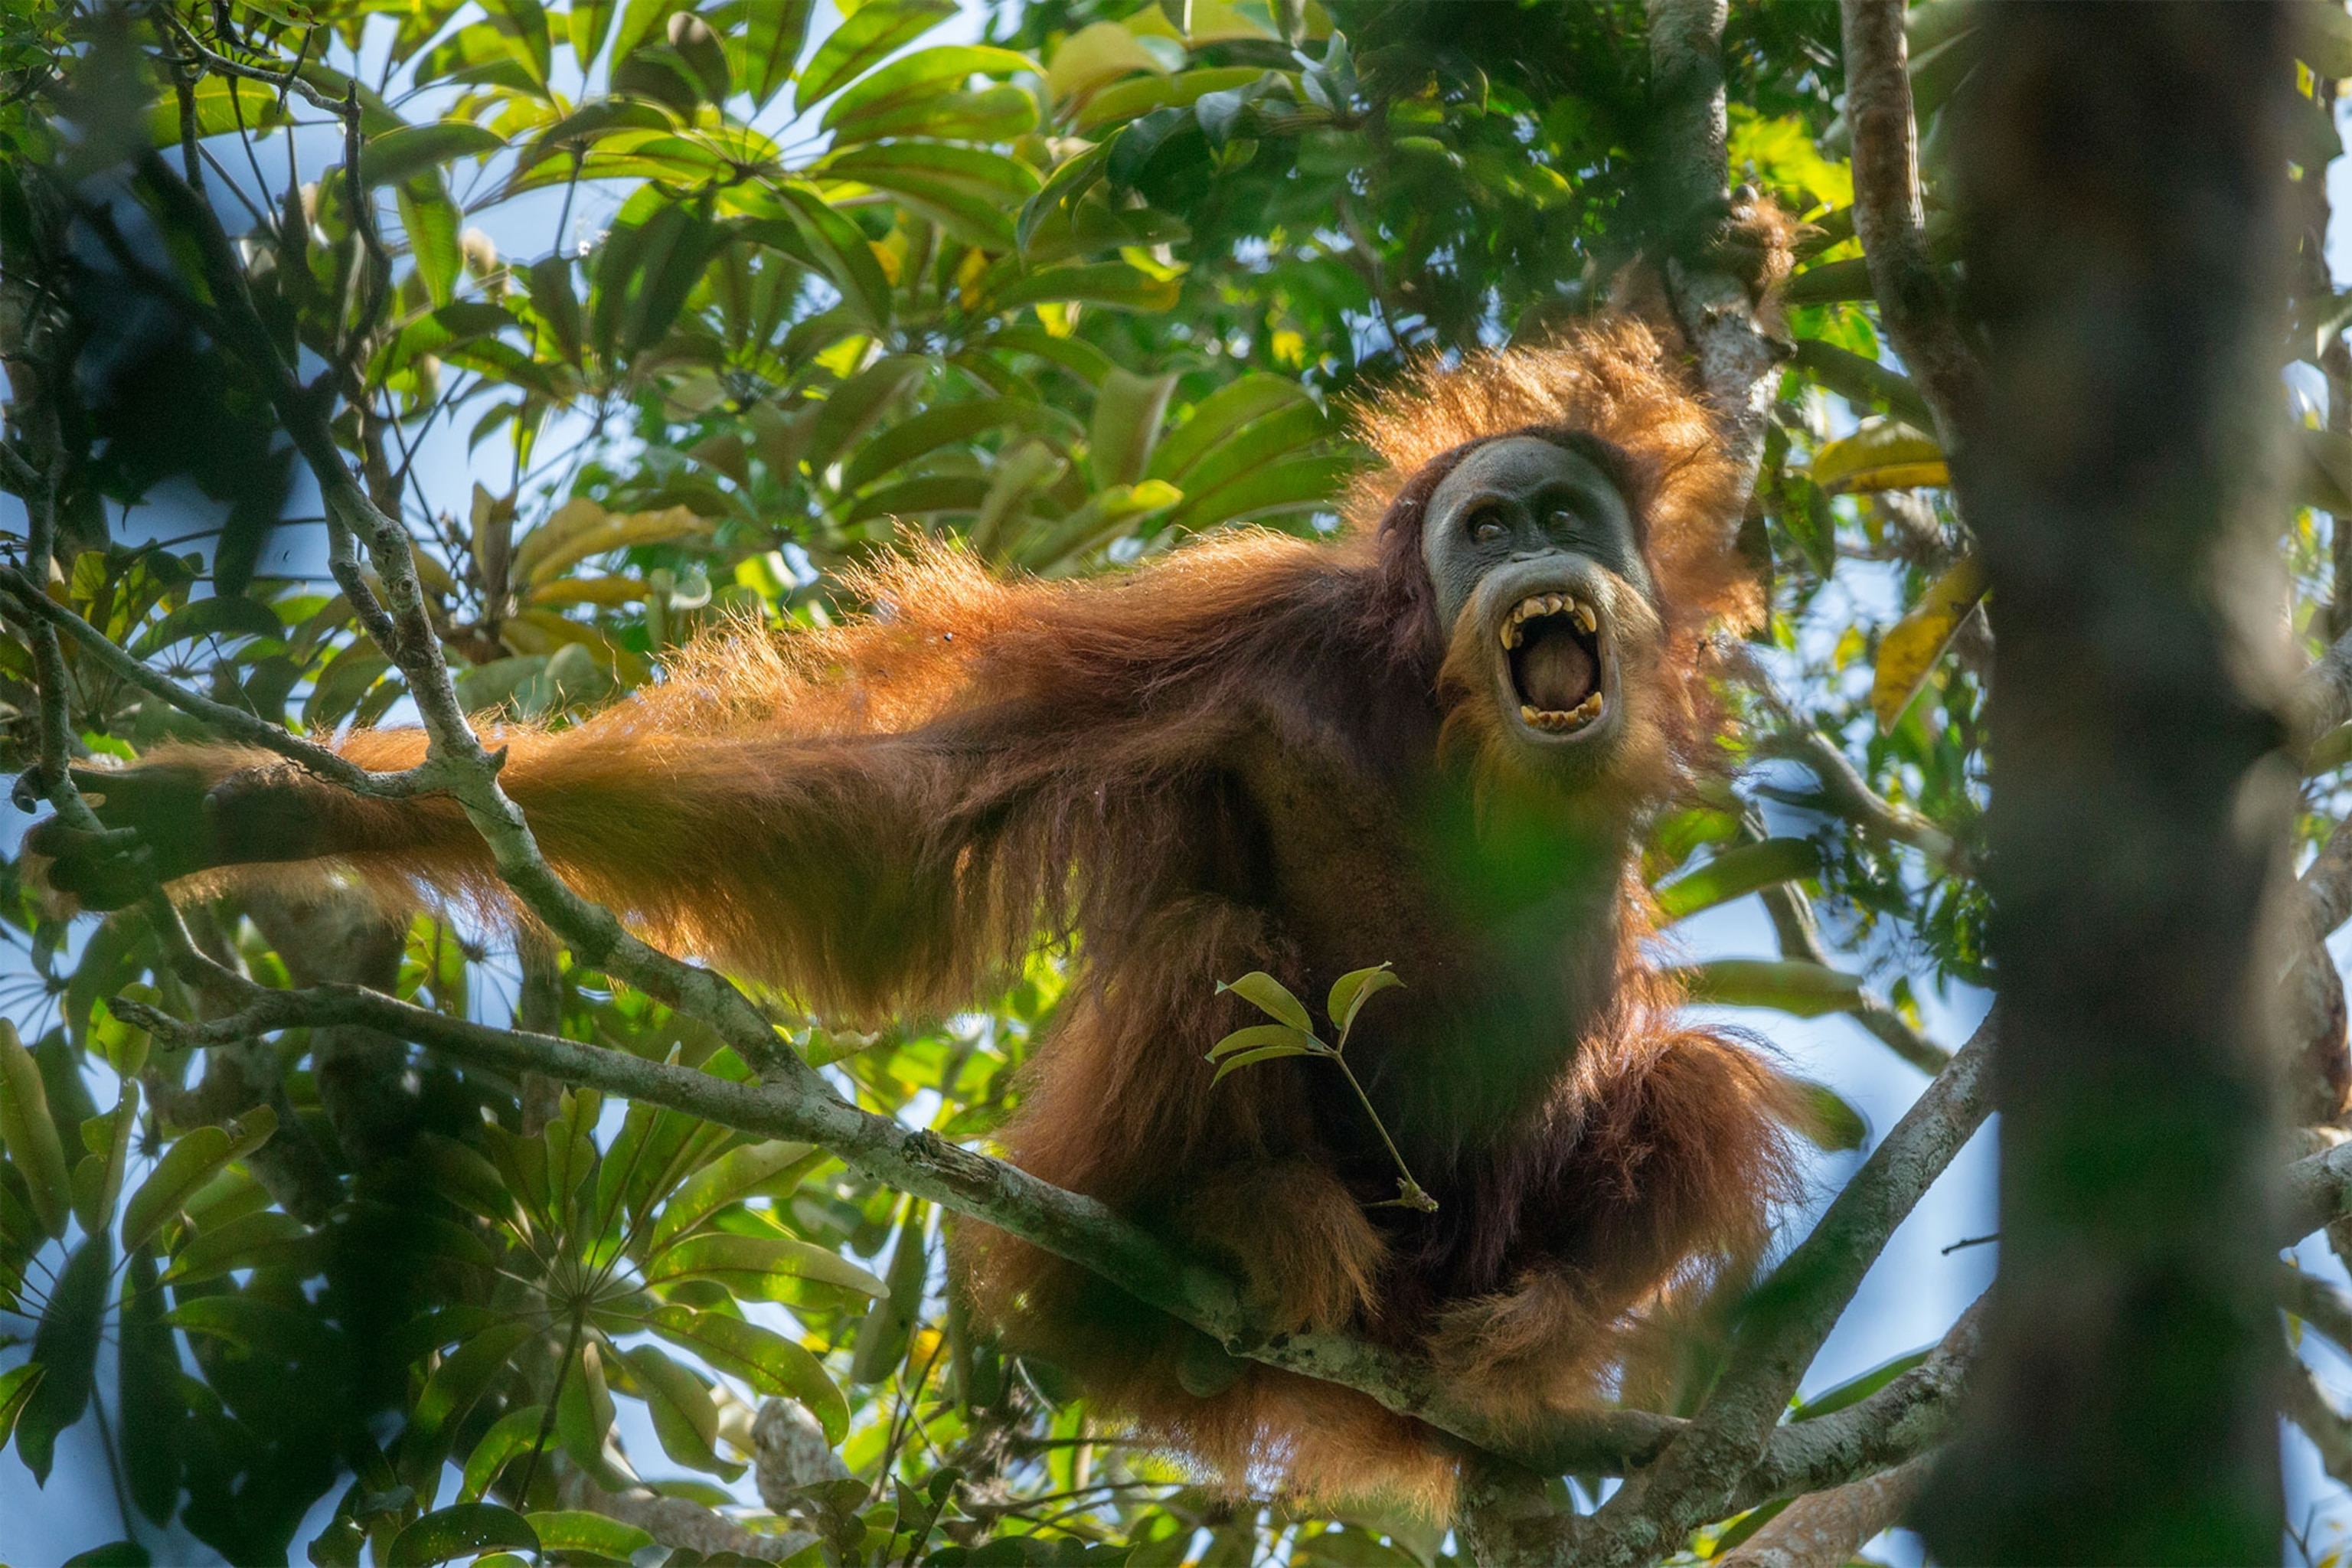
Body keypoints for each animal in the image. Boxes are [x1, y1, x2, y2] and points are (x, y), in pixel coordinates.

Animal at [30, 219, 1810, 1517]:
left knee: (1702, 1079)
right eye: (1487, 528)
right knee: (1203, 945)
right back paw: (1243, 1224)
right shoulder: (1238, 631)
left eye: (1564, 514)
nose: (1538, 555)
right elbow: (895, 812)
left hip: (1454, 1258)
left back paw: (1532, 1354)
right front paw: (237, 813)